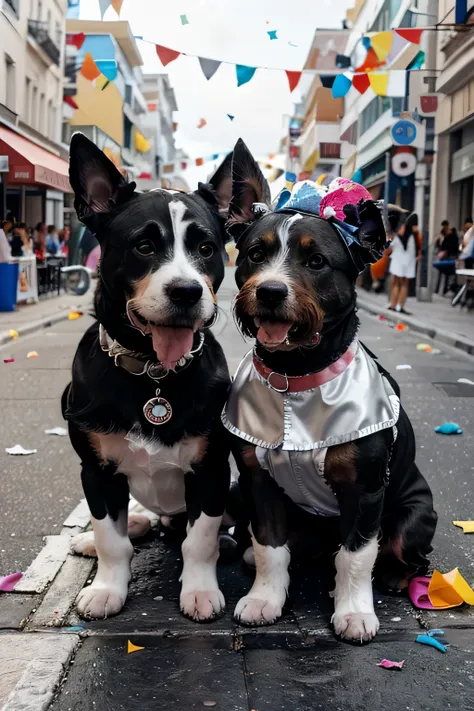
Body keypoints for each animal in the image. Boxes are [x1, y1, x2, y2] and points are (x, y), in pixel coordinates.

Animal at [63, 135, 233, 624]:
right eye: (143, 246)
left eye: (206, 249)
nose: (186, 292)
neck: (152, 372)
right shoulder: (95, 471)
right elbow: (111, 539)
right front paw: (107, 588)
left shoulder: (211, 470)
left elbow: (200, 540)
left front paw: (200, 591)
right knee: (131, 521)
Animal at [222, 139, 436, 644]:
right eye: (254, 254)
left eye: (316, 260)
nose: (271, 291)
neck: (295, 378)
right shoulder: (258, 481)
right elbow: (269, 547)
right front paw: (265, 598)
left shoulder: (365, 490)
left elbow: (356, 557)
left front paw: (354, 611)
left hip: (416, 515)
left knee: (411, 556)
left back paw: (396, 576)